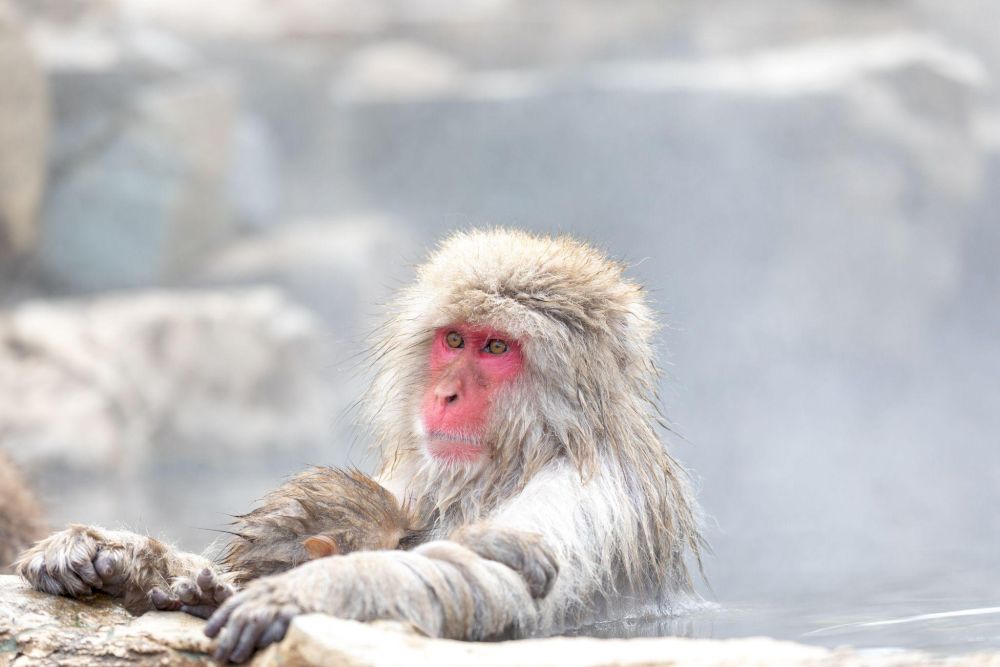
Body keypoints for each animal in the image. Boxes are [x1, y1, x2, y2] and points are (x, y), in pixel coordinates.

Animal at [16, 228, 703, 663]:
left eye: (496, 348)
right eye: (454, 341)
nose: (446, 394)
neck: (522, 455)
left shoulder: (592, 489)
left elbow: (495, 581)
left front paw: (313, 591)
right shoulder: (416, 479)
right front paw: (117, 552)